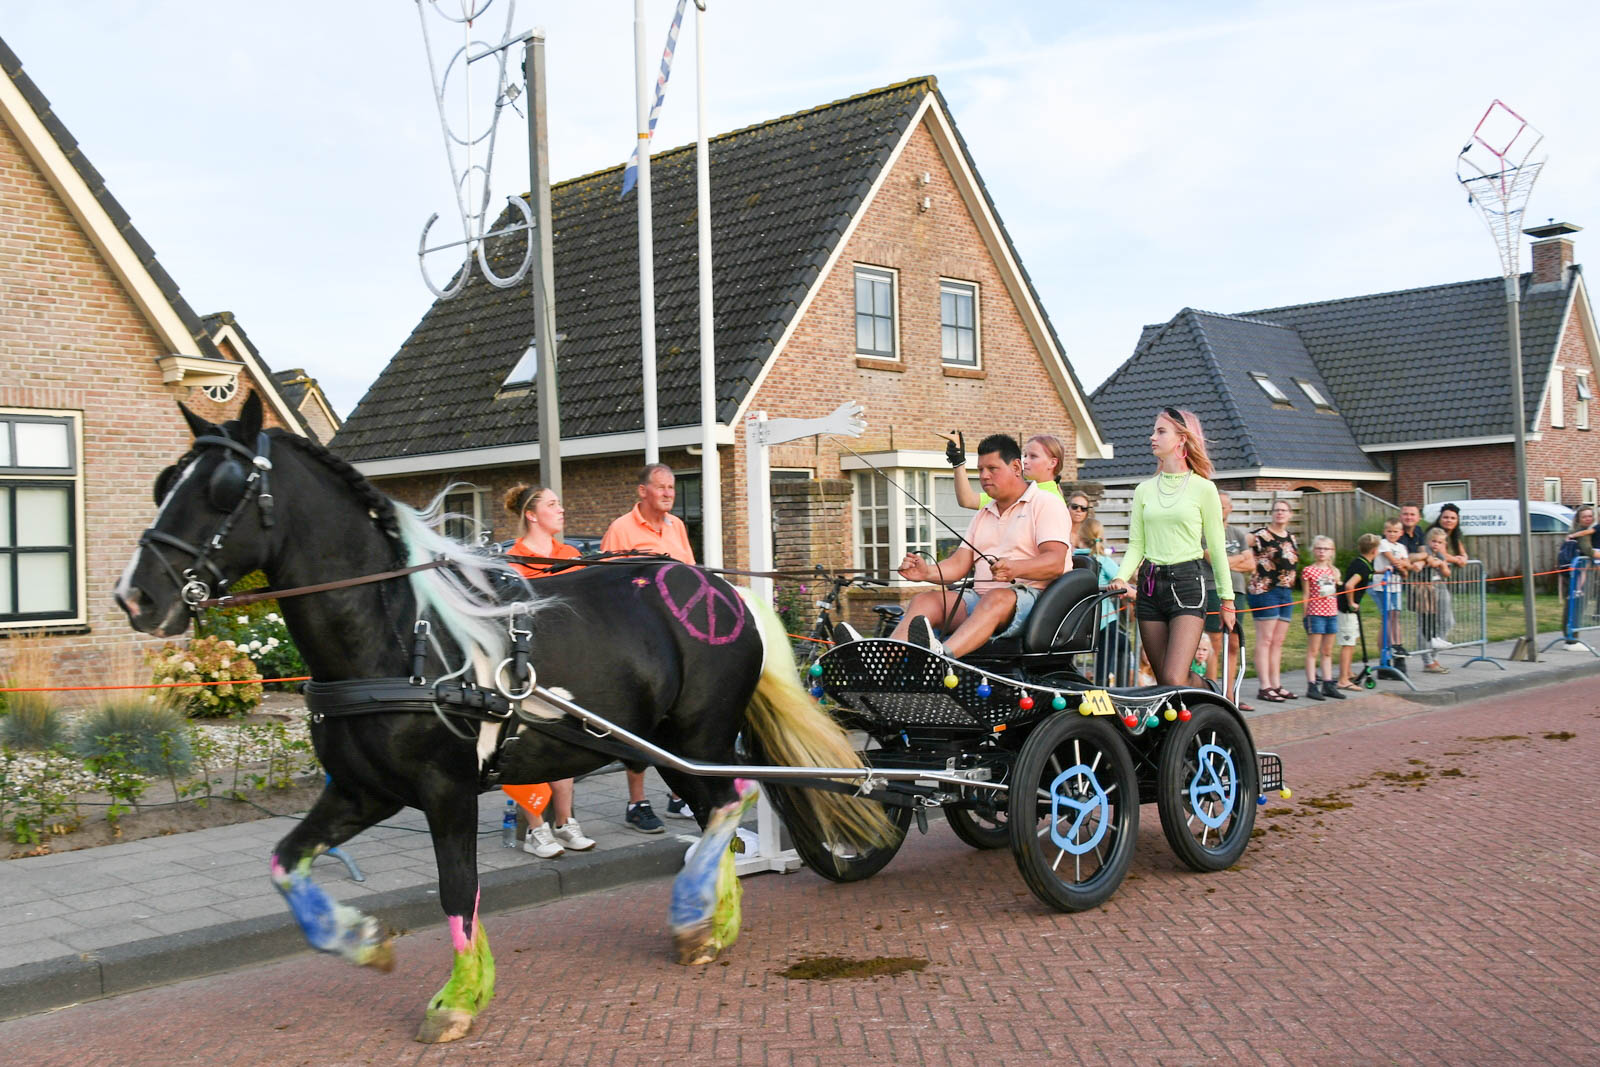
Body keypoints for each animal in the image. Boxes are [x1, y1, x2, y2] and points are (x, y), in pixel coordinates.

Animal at [114, 393, 892, 1043]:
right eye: (163, 482)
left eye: (222, 489)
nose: (136, 595)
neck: (402, 635)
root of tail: (721, 590)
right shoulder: (361, 791)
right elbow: (284, 862)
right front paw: (362, 939)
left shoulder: (448, 789)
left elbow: (458, 891)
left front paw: (457, 1000)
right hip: (669, 746)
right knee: (719, 808)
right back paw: (708, 922)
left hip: (696, 737)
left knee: (731, 801)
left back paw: (698, 915)